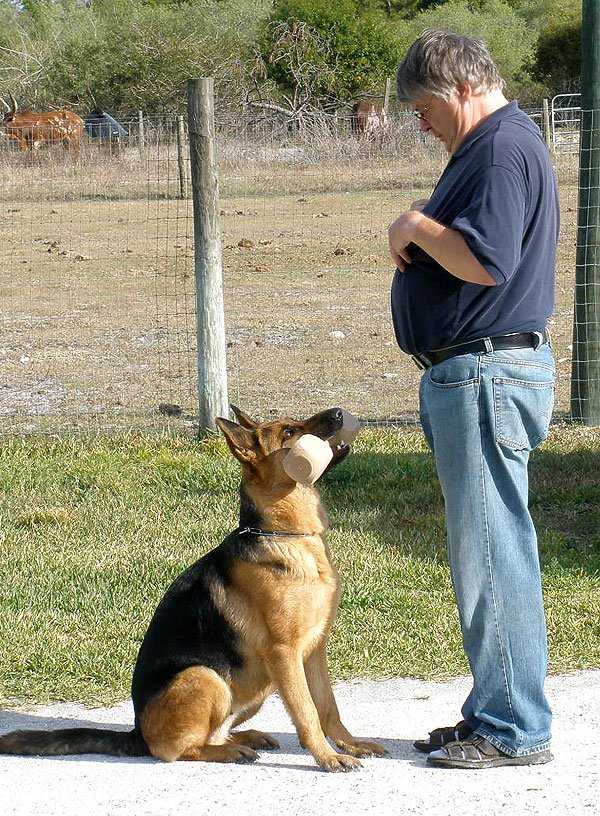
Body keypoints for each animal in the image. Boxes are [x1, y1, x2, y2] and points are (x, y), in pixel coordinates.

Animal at [0, 408, 384, 772]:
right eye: (289, 431)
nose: (338, 412)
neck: (285, 536)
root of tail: (137, 733)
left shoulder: (314, 650)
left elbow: (328, 706)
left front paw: (349, 744)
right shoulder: (284, 653)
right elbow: (306, 711)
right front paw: (327, 757)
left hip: (252, 687)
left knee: (214, 732)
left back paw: (245, 738)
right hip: (206, 676)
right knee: (177, 749)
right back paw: (231, 751)